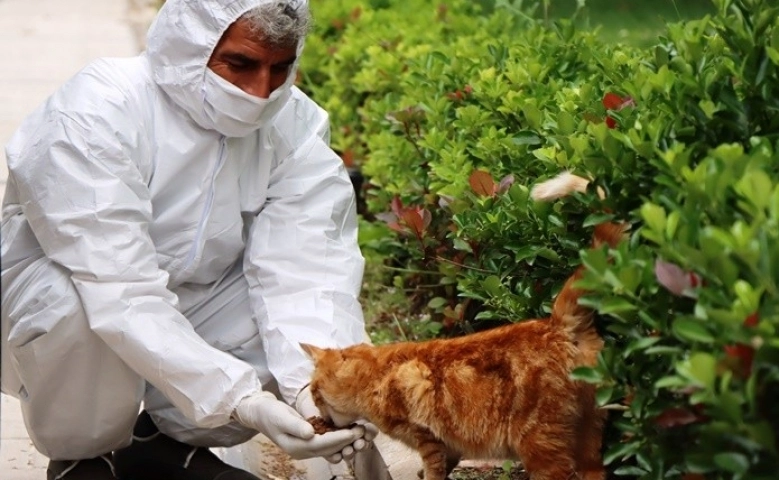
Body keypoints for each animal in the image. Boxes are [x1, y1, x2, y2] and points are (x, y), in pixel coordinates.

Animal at [300, 172, 620, 480]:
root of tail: (557, 324)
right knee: (595, 472)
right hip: (590, 434)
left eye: (314, 392)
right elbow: (447, 460)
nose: (317, 413)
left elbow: (434, 469)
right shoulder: (447, 444)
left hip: (540, 446)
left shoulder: (426, 436)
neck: (378, 374)